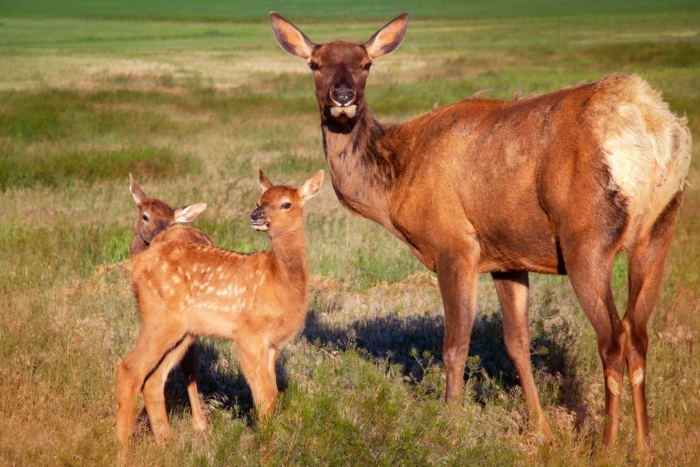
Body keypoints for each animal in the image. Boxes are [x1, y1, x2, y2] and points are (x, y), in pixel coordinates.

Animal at [270, 12, 692, 450]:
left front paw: (450, 428)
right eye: (315, 64)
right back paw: (644, 446)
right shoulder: (508, 256)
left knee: (613, 337)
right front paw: (540, 431)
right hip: (658, 231)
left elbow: (455, 345)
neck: (395, 183)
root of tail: (652, 127)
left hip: (585, 238)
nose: (342, 95)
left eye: (366, 64)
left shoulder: (454, 245)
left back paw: (608, 445)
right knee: (639, 334)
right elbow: (518, 343)